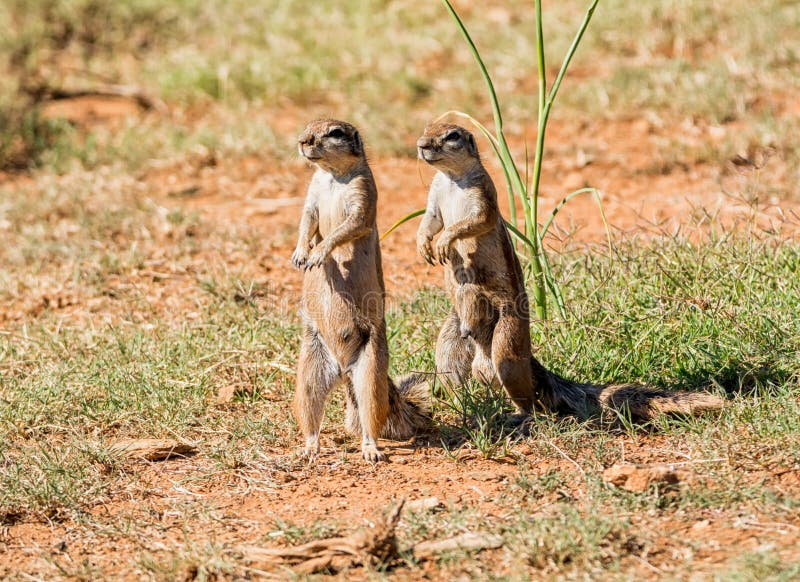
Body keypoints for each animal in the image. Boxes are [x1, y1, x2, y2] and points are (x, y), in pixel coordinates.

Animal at [291, 119, 429, 462]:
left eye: (335, 132)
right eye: (307, 125)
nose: (302, 141)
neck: (331, 176)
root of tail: (343, 371)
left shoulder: (363, 196)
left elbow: (347, 227)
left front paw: (319, 253)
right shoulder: (312, 196)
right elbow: (306, 221)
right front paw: (300, 253)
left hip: (369, 374)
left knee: (370, 416)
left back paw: (371, 450)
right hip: (310, 373)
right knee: (311, 413)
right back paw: (309, 448)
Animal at [415, 122, 724, 420]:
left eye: (452, 135)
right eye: (426, 129)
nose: (420, 145)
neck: (451, 179)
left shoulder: (483, 194)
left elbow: (476, 220)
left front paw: (444, 241)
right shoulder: (433, 195)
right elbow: (430, 219)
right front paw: (423, 244)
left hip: (508, 341)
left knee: (529, 397)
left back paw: (519, 416)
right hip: (450, 338)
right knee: (454, 369)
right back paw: (452, 403)